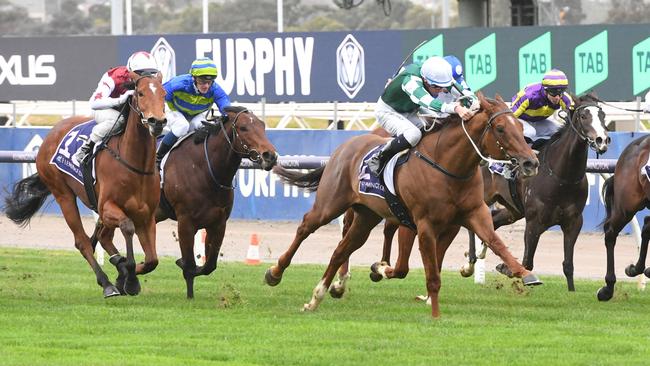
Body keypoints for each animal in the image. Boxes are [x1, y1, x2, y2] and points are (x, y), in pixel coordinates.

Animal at [4, 71, 166, 298]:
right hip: (63, 195)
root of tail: (51, 134)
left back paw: (118, 268)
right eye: (140, 93)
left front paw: (128, 273)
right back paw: (107, 284)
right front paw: (130, 277)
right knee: (83, 241)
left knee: (102, 237)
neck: (134, 164)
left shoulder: (147, 215)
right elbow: (127, 227)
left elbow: (152, 260)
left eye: (164, 94)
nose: (157, 122)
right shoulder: (107, 207)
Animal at [157, 105, 278, 298]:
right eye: (243, 128)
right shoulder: (185, 221)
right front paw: (189, 292)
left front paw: (183, 264)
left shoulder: (218, 222)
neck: (204, 169)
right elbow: (190, 264)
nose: (270, 156)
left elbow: (209, 265)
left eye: (262, 126)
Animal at [264, 92, 540, 318]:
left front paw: (525, 273)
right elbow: (430, 275)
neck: (448, 168)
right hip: (330, 203)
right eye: (501, 128)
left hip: (366, 217)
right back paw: (275, 273)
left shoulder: (471, 215)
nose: (531, 162)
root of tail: (343, 147)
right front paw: (435, 315)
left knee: (341, 250)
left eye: (520, 126)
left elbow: (496, 243)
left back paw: (317, 297)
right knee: (305, 227)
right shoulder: (422, 224)